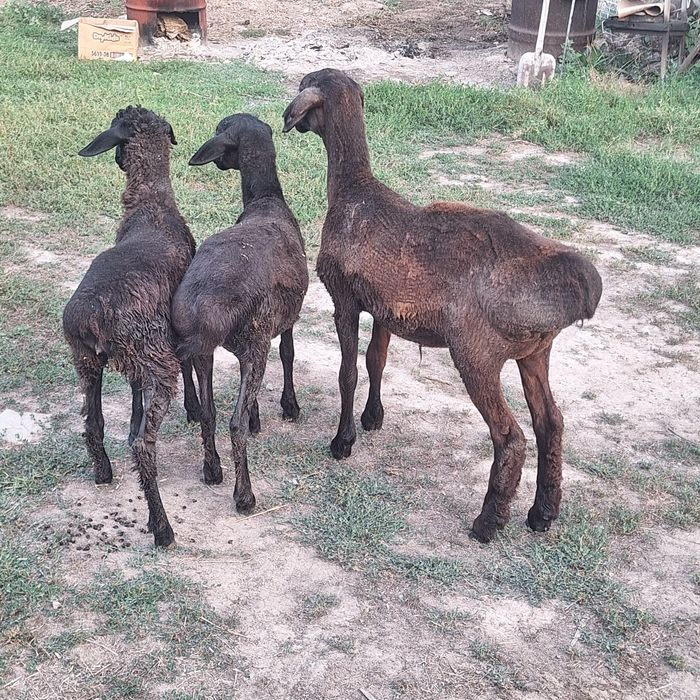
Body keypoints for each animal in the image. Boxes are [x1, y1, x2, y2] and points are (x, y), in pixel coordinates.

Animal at [63, 106, 198, 547]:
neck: (151, 203)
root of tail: (92, 315)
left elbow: (133, 391)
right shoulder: (169, 334)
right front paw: (194, 409)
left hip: (87, 360)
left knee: (92, 423)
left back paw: (103, 473)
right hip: (156, 360)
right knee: (144, 447)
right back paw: (162, 528)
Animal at [172, 113, 309, 514]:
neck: (266, 199)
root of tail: (207, 307)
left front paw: (258, 415)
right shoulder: (284, 320)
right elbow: (289, 353)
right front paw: (289, 407)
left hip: (203, 351)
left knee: (209, 412)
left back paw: (212, 469)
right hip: (254, 343)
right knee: (233, 422)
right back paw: (244, 495)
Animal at [283, 69, 603, 543]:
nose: (290, 120)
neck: (353, 189)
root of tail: (577, 286)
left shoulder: (344, 298)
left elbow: (348, 373)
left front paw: (342, 442)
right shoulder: (385, 307)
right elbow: (376, 361)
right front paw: (373, 418)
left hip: (477, 352)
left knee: (510, 435)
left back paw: (488, 522)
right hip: (535, 351)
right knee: (551, 423)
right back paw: (543, 513)